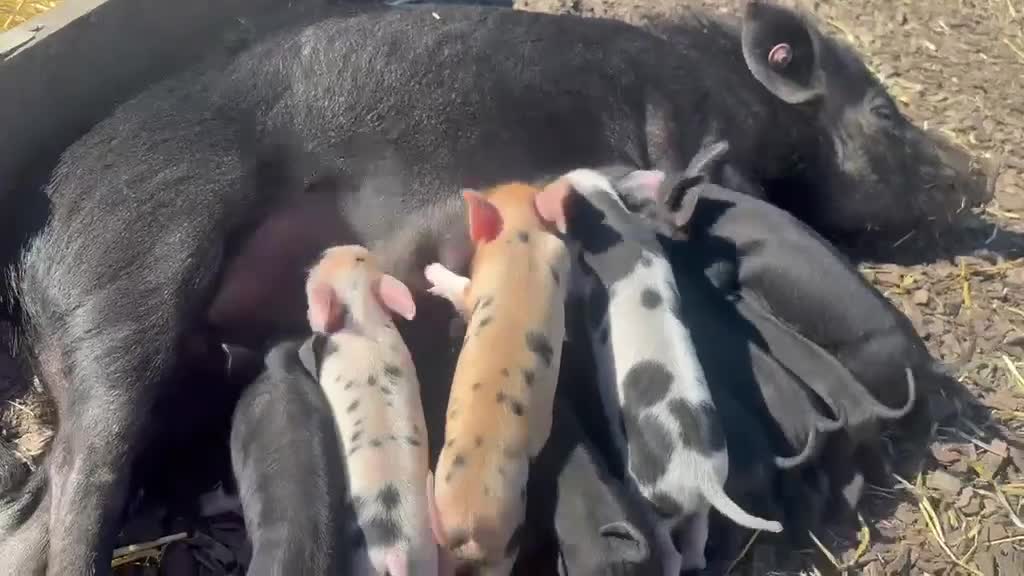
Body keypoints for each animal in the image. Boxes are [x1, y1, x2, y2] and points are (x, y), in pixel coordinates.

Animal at [302, 244, 440, 576]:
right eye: (362, 257)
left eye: (324, 259)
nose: (326, 250)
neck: (362, 316)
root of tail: (397, 551)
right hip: (426, 556)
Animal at [423, 183, 570, 575]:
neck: (522, 237)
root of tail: (470, 522)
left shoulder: (475, 287)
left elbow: (462, 291)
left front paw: (431, 271)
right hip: (497, 547)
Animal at [533, 168, 783, 573]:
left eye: (560, 186)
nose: (539, 190)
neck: (610, 218)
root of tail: (702, 477)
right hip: (699, 506)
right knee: (698, 542)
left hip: (652, 501)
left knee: (671, 550)